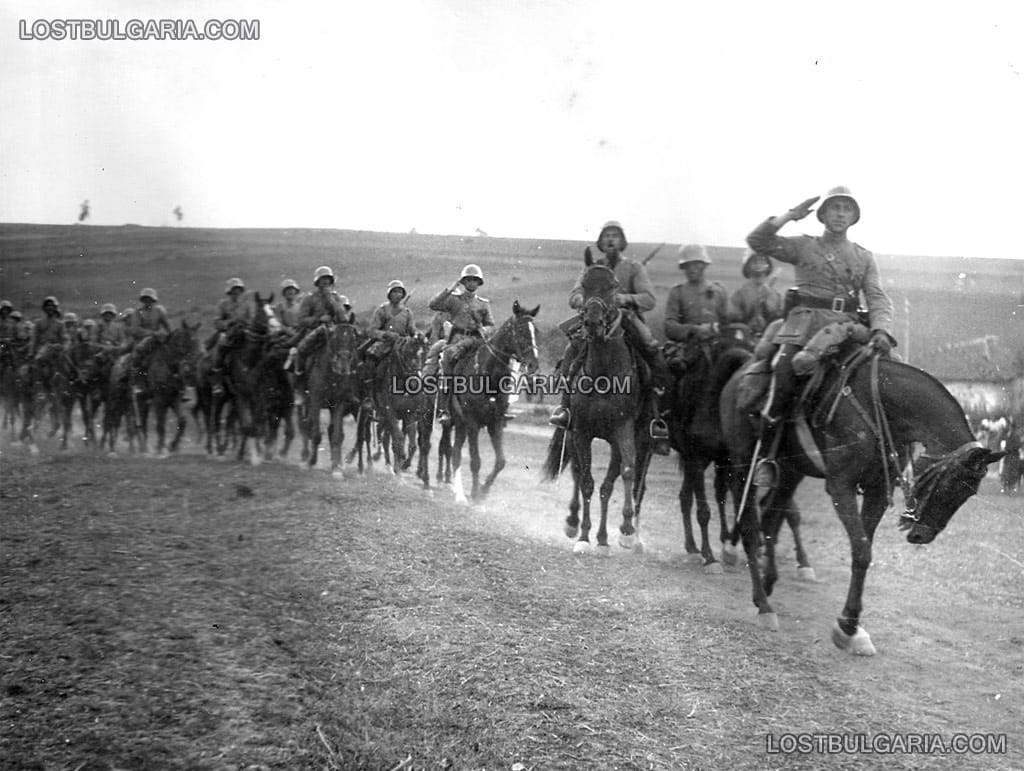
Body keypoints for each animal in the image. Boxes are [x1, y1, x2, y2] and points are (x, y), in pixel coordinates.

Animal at [299, 319, 364, 475]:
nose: (343, 364)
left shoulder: (339, 403)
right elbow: (316, 434)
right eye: (334, 337)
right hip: (306, 401)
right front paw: (311, 462)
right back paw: (305, 456)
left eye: (354, 339)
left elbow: (336, 436)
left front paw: (336, 469)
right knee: (305, 425)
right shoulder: (315, 400)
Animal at [448, 296, 544, 501]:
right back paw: (459, 494)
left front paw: (484, 490)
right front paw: (475, 493)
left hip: (462, 425)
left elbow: (501, 461)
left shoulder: (496, 422)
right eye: (521, 331)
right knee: (454, 452)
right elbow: (475, 461)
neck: (487, 377)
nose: (534, 366)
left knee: (455, 452)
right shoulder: (473, 423)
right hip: (457, 421)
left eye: (536, 332)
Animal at [536, 266, 647, 552]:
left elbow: (624, 473)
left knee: (608, 482)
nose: (593, 323)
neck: (604, 375)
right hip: (572, 433)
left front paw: (625, 531)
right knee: (577, 473)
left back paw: (604, 537)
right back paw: (573, 523)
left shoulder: (623, 429)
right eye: (584, 285)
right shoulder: (582, 431)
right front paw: (584, 537)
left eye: (613, 286)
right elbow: (586, 481)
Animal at [720, 346, 1007, 651]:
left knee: (771, 519)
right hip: (743, 466)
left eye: (969, 493)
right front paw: (849, 624)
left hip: (789, 471)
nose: (922, 535)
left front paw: (850, 626)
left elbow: (864, 551)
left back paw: (768, 580)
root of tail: (740, 374)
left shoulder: (877, 491)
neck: (881, 406)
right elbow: (860, 550)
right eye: (949, 484)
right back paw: (763, 604)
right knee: (750, 527)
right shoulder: (841, 487)